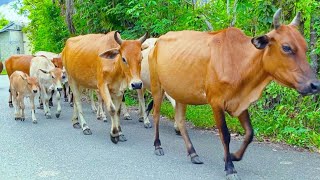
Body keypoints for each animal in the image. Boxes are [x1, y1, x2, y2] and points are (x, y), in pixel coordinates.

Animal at [148, 9, 320, 179]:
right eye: (286, 47)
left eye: (305, 48)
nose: (315, 85)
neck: (239, 61)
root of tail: (157, 41)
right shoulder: (216, 102)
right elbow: (225, 134)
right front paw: (230, 167)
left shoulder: (241, 102)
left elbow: (250, 133)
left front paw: (233, 156)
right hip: (157, 86)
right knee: (156, 114)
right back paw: (157, 145)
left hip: (181, 94)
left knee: (180, 121)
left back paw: (193, 153)